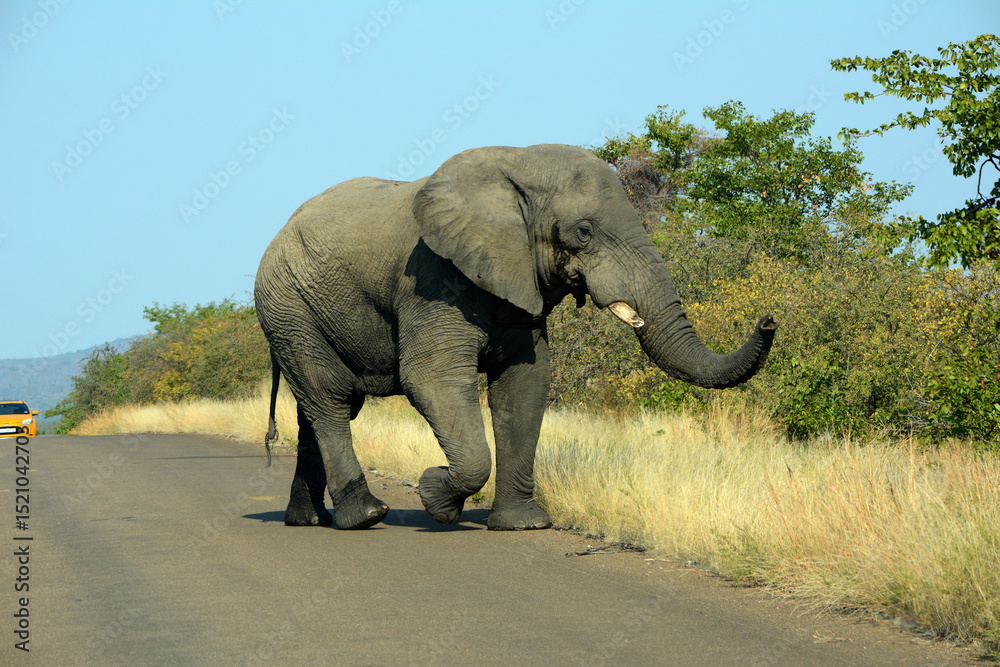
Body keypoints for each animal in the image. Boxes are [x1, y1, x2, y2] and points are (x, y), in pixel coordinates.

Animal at [254, 144, 777, 531]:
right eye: (583, 232)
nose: (768, 321)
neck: (517, 165)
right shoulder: (434, 280)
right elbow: (432, 379)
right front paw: (436, 496)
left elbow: (525, 384)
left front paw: (523, 524)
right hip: (288, 305)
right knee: (329, 396)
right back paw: (366, 516)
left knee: (319, 407)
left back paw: (308, 520)